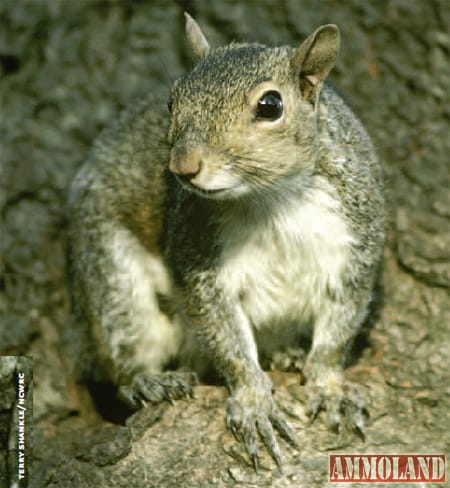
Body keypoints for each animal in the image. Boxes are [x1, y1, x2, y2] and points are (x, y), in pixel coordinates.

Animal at [66, 14, 384, 468]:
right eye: (172, 101)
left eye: (270, 106)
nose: (183, 166)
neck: (272, 198)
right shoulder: (199, 260)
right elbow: (225, 338)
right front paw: (253, 403)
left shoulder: (356, 245)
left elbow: (337, 334)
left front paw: (330, 387)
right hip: (112, 276)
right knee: (121, 355)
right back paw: (149, 381)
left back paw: (287, 354)